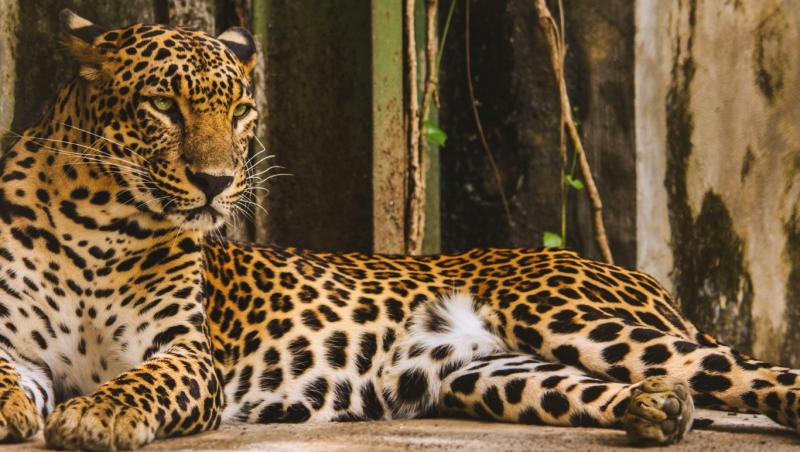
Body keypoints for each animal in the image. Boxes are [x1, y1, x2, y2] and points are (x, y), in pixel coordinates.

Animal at [0, 9, 797, 451]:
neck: (100, 228)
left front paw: (97, 417)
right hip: (496, 375)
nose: (217, 181)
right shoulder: (17, 342)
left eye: (241, 113)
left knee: (760, 373)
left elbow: (144, 382)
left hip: (575, 318)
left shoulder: (187, 355)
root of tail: (639, 276)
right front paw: (15, 411)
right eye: (163, 105)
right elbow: (11, 375)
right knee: (614, 388)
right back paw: (657, 408)